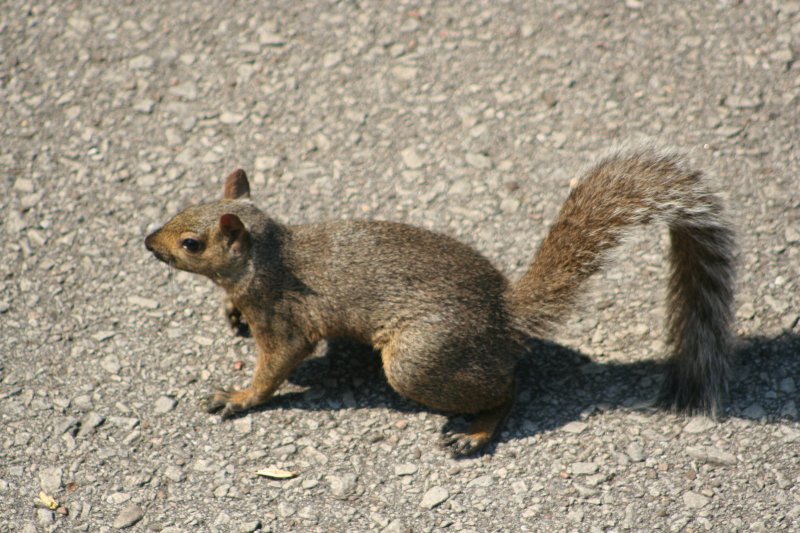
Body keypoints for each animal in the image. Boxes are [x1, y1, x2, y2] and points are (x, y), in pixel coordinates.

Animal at [145, 148, 736, 456]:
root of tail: (505, 318)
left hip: (419, 359)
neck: (266, 257)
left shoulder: (285, 316)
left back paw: (475, 431)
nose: (148, 242)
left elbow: (277, 365)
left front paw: (239, 397)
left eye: (191, 243)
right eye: (179, 208)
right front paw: (230, 315)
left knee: (507, 389)